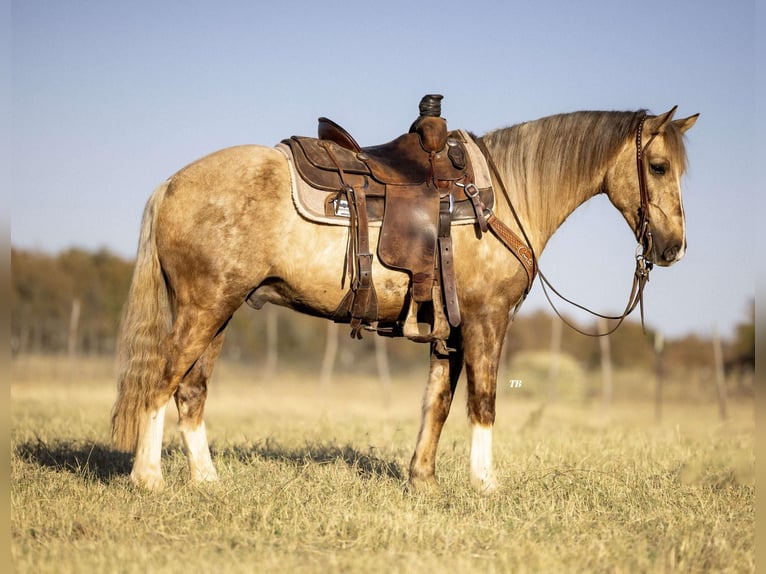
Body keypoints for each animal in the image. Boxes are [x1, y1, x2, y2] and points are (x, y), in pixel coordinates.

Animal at [111, 108, 700, 496]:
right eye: (658, 167)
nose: (673, 248)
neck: (502, 197)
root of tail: (171, 184)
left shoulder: (451, 329)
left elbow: (436, 401)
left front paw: (423, 482)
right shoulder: (486, 321)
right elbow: (483, 401)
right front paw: (485, 484)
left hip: (221, 314)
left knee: (190, 390)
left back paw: (208, 481)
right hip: (203, 310)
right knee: (160, 382)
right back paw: (149, 478)